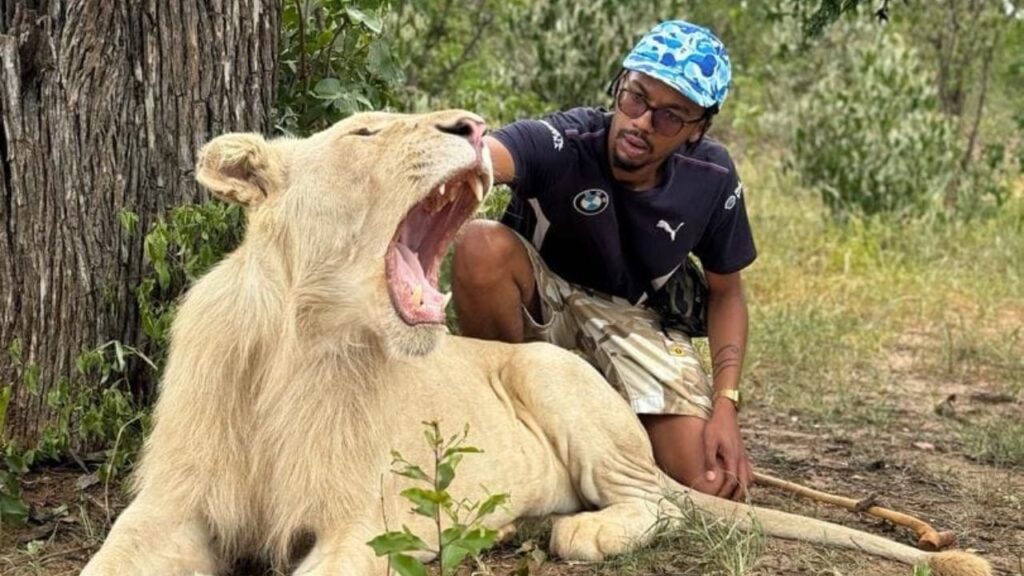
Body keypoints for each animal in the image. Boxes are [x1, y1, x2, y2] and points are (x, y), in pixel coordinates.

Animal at [81, 110, 991, 576]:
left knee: (660, 503)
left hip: (559, 376)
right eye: (363, 132)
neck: (299, 344)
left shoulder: (364, 525)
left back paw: (574, 533)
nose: (471, 124)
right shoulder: (171, 505)